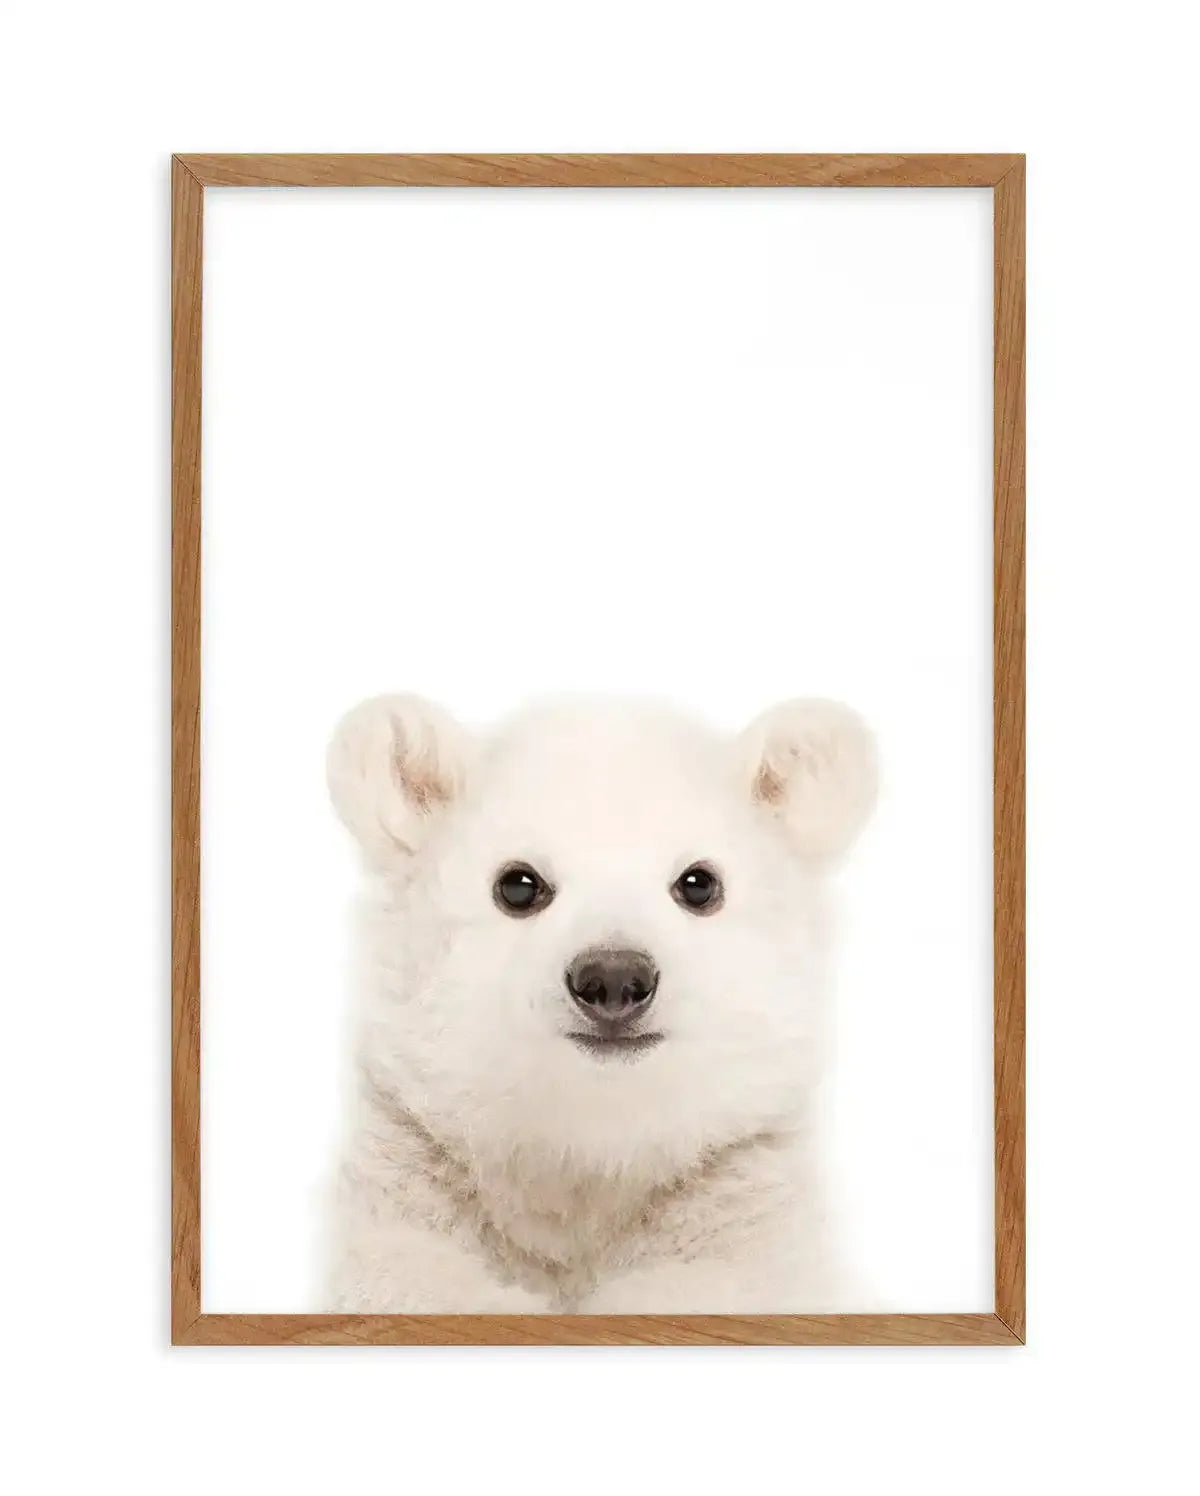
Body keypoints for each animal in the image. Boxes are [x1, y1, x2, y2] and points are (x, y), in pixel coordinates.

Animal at [323, 693, 876, 1314]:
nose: (614, 979)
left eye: (699, 883)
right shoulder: (421, 1172)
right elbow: (412, 1273)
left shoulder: (735, 1192)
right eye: (517, 884)